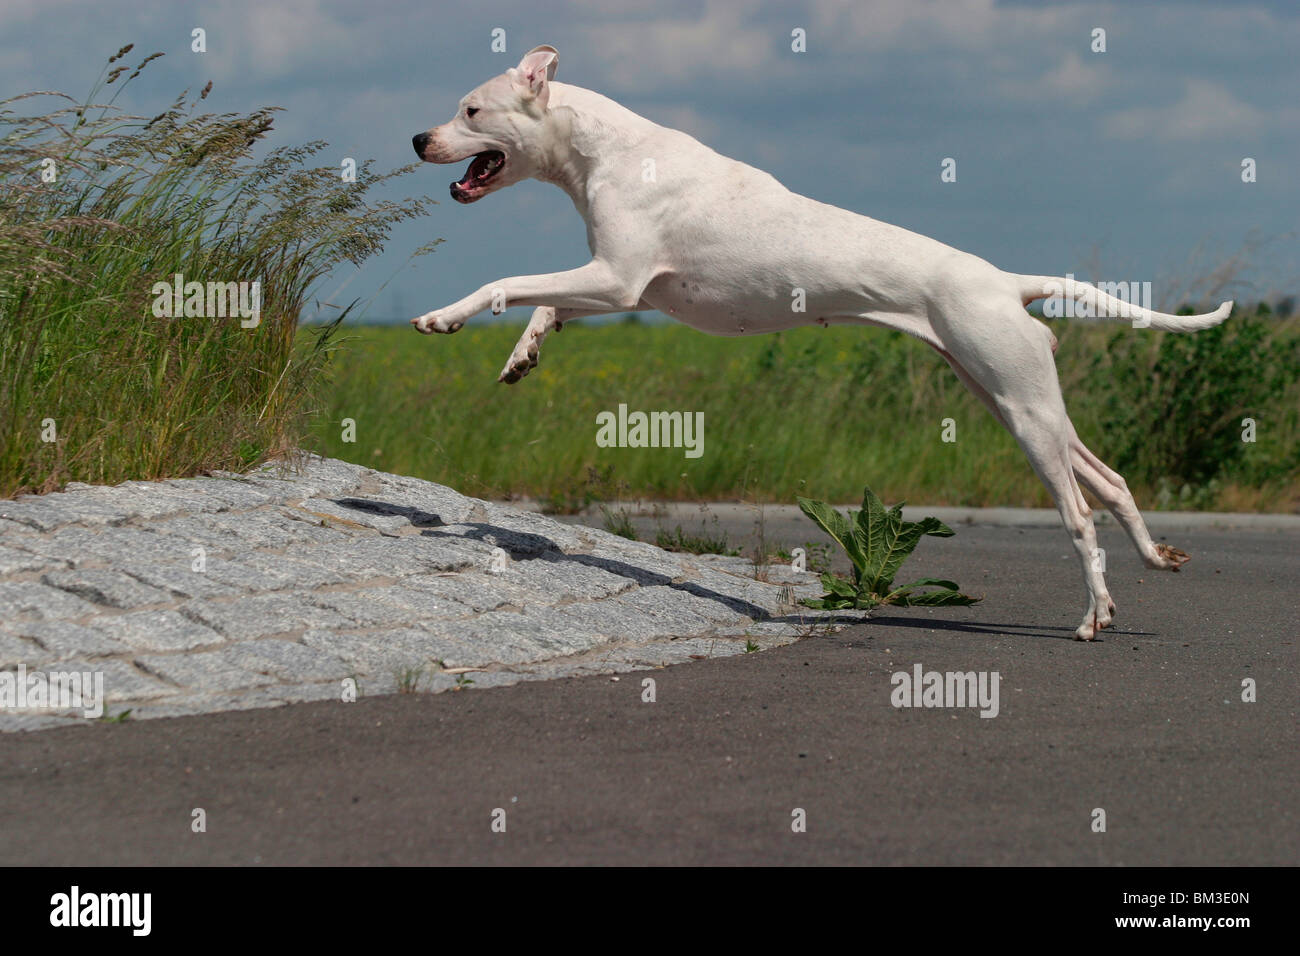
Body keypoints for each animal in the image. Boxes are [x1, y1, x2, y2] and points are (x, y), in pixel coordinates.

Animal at [410, 44, 1232, 642]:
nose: (418, 137)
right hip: (1013, 400)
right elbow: (543, 303)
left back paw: (1094, 617)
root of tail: (1008, 281)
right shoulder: (620, 289)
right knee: (1112, 481)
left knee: (1081, 514)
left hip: (1024, 412)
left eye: (470, 108)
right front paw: (522, 354)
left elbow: (507, 282)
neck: (604, 148)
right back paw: (1152, 561)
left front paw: (444, 317)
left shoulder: (616, 281)